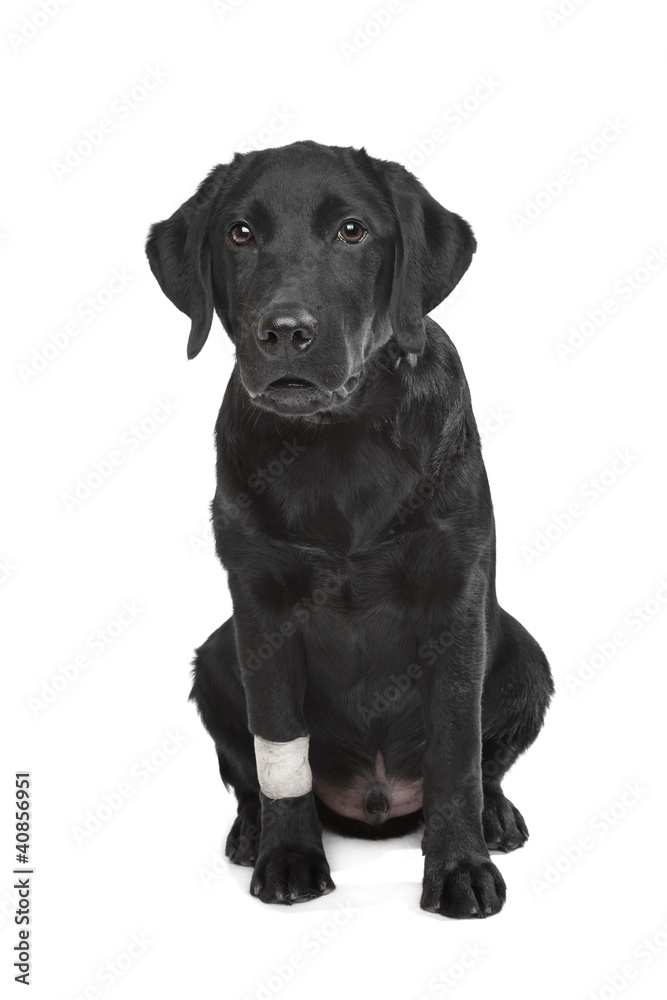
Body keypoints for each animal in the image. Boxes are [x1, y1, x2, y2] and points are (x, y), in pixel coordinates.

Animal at [149, 141, 556, 920]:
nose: (285, 332)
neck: (338, 440)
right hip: (215, 656)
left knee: (484, 765)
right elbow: (278, 752)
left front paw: (461, 868)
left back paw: (495, 819)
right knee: (248, 773)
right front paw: (287, 858)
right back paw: (251, 832)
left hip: (523, 654)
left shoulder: (454, 596)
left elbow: (456, 752)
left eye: (351, 232)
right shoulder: (260, 603)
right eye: (239, 234)